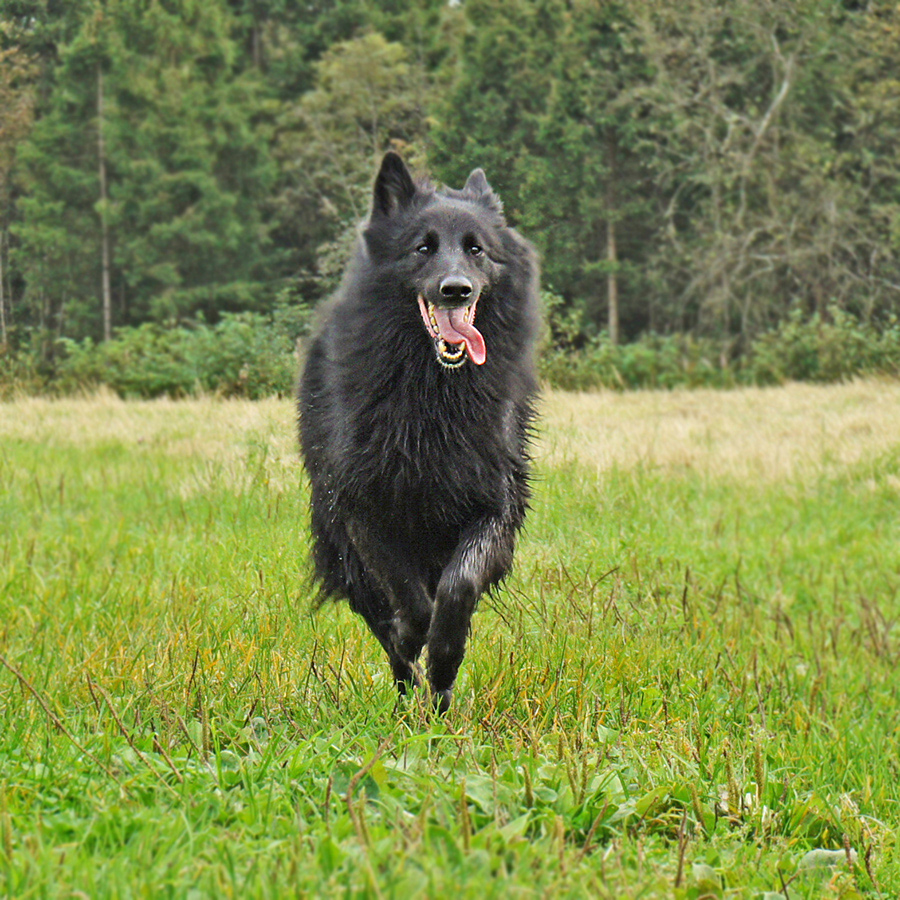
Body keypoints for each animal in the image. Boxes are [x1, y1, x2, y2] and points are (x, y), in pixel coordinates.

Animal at [302, 151, 536, 712]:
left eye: (476, 248)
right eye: (422, 247)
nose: (456, 289)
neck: (433, 397)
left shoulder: (493, 507)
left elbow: (457, 587)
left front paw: (445, 656)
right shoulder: (364, 510)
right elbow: (406, 597)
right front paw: (413, 635)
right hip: (341, 549)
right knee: (384, 627)